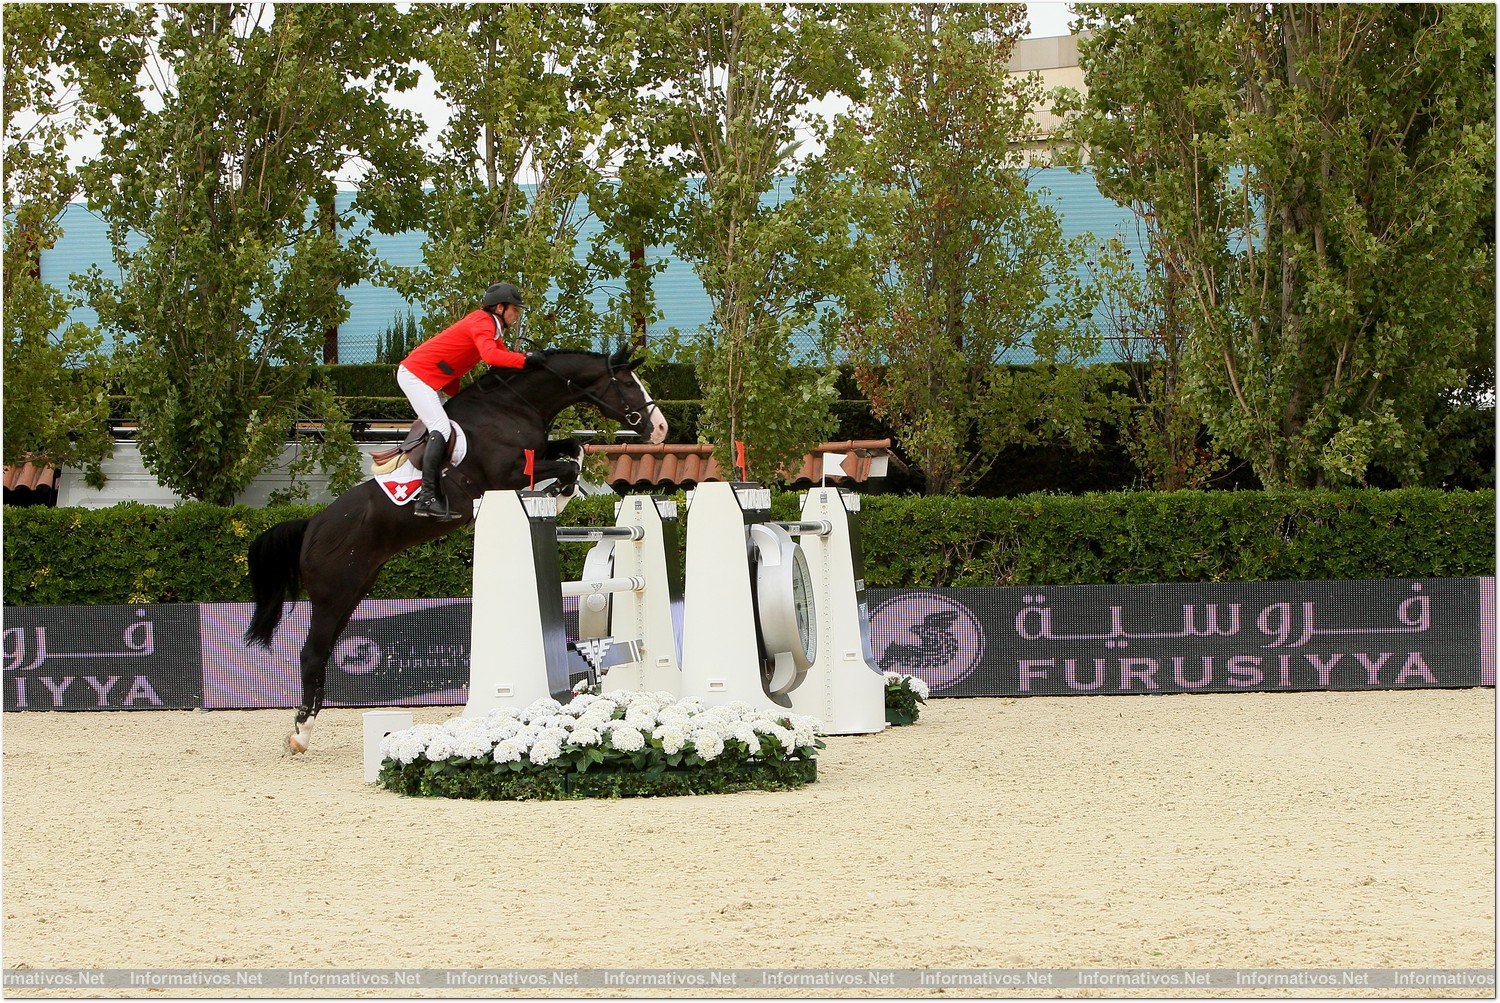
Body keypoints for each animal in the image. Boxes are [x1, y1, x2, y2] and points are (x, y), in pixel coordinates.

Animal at [243, 346, 666, 749]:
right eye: (628, 384)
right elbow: (567, 465)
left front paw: (562, 492)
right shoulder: (506, 474)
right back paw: (301, 734)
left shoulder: (534, 454)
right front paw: (558, 496)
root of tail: (312, 525)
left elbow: (573, 449)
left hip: (354, 592)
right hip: (333, 594)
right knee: (312, 653)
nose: (661, 428)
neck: (514, 405)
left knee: (326, 650)